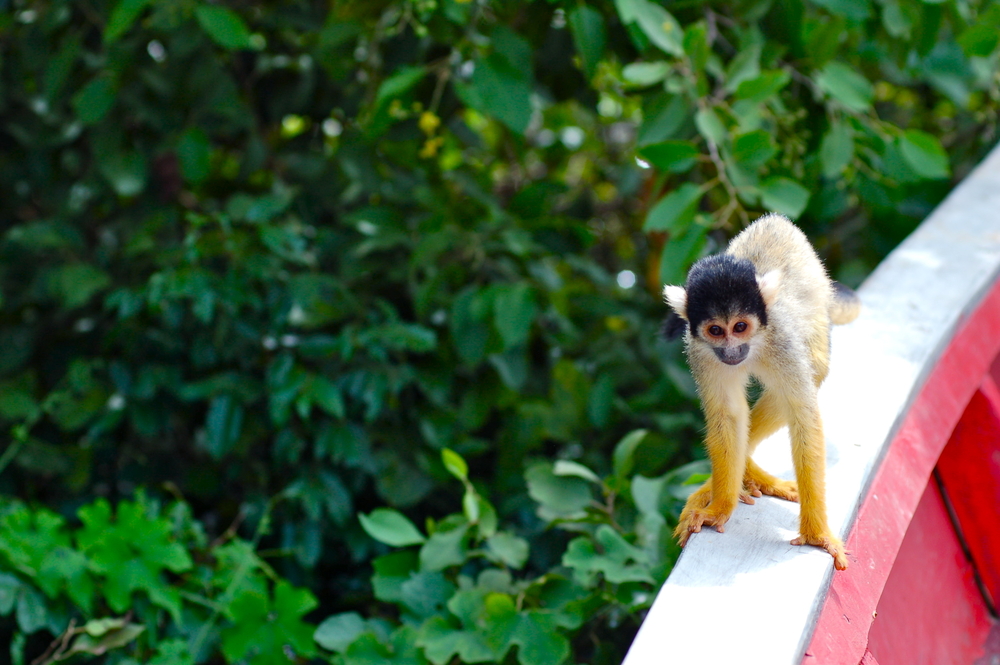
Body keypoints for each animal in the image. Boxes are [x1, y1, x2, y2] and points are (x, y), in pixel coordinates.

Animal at [664, 214, 860, 572]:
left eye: (740, 327)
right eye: (716, 330)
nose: (732, 351)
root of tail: (775, 219)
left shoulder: (782, 337)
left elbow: (803, 415)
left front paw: (816, 535)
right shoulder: (701, 351)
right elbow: (728, 414)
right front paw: (720, 507)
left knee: (815, 368)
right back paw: (743, 474)